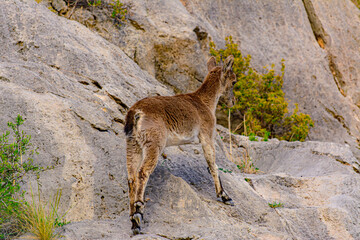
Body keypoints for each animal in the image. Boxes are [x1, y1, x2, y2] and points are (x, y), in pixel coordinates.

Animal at [124, 54, 236, 234]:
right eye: (234, 81)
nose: (233, 101)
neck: (204, 102)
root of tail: (136, 113)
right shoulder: (207, 135)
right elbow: (213, 165)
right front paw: (224, 196)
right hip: (154, 143)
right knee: (142, 173)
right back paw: (138, 214)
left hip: (132, 144)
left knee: (131, 177)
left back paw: (133, 222)